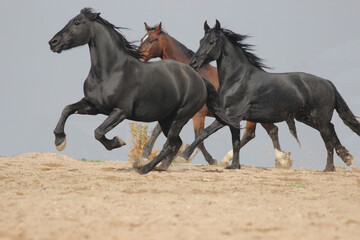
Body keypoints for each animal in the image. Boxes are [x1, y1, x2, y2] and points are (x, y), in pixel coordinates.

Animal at [48, 9, 239, 173]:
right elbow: (67, 109)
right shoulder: (94, 106)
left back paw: (145, 168)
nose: (53, 42)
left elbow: (99, 132)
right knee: (176, 143)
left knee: (171, 144)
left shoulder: (120, 111)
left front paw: (117, 142)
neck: (111, 71)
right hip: (166, 119)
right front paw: (59, 140)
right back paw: (161, 167)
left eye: (77, 23)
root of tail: (199, 79)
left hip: (180, 118)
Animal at [136, 22, 300, 165]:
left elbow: (199, 136)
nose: (138, 57)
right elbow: (158, 130)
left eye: (151, 40)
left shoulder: (198, 115)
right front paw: (144, 156)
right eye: (142, 39)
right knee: (266, 131)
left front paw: (194, 158)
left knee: (258, 132)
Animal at [183, 20, 360, 171]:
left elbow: (205, 133)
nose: (193, 63)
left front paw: (183, 155)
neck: (238, 78)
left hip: (317, 119)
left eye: (212, 41)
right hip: (307, 118)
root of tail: (328, 83)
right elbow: (235, 141)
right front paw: (234, 166)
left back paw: (329, 168)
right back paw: (346, 158)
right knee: (332, 130)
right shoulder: (233, 119)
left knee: (328, 139)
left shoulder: (230, 115)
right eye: (201, 41)